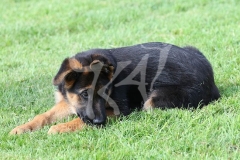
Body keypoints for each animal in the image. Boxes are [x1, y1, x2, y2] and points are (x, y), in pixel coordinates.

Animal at [9, 41, 219, 134]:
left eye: (105, 93)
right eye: (84, 94)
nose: (101, 122)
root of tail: (211, 79)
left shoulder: (117, 110)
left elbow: (80, 120)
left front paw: (60, 127)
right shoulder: (67, 103)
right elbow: (43, 116)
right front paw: (22, 128)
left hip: (153, 101)